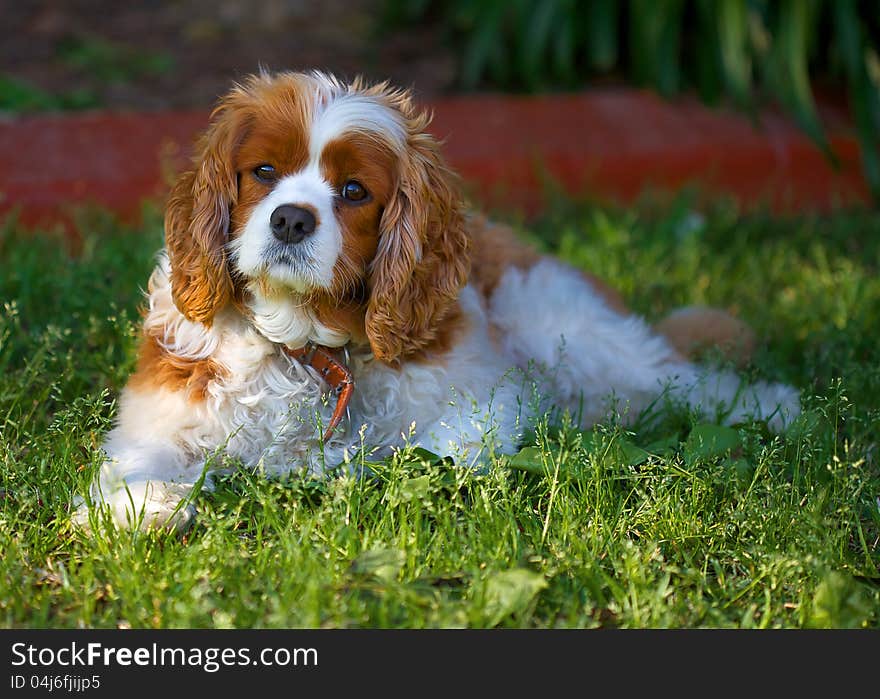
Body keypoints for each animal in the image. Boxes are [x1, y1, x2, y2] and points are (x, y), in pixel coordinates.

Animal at [75, 69, 800, 532]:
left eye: (354, 191)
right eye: (263, 173)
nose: (290, 220)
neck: (306, 343)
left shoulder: (489, 403)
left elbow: (435, 451)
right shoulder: (160, 412)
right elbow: (133, 465)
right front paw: (147, 507)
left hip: (569, 328)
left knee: (686, 379)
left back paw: (779, 408)